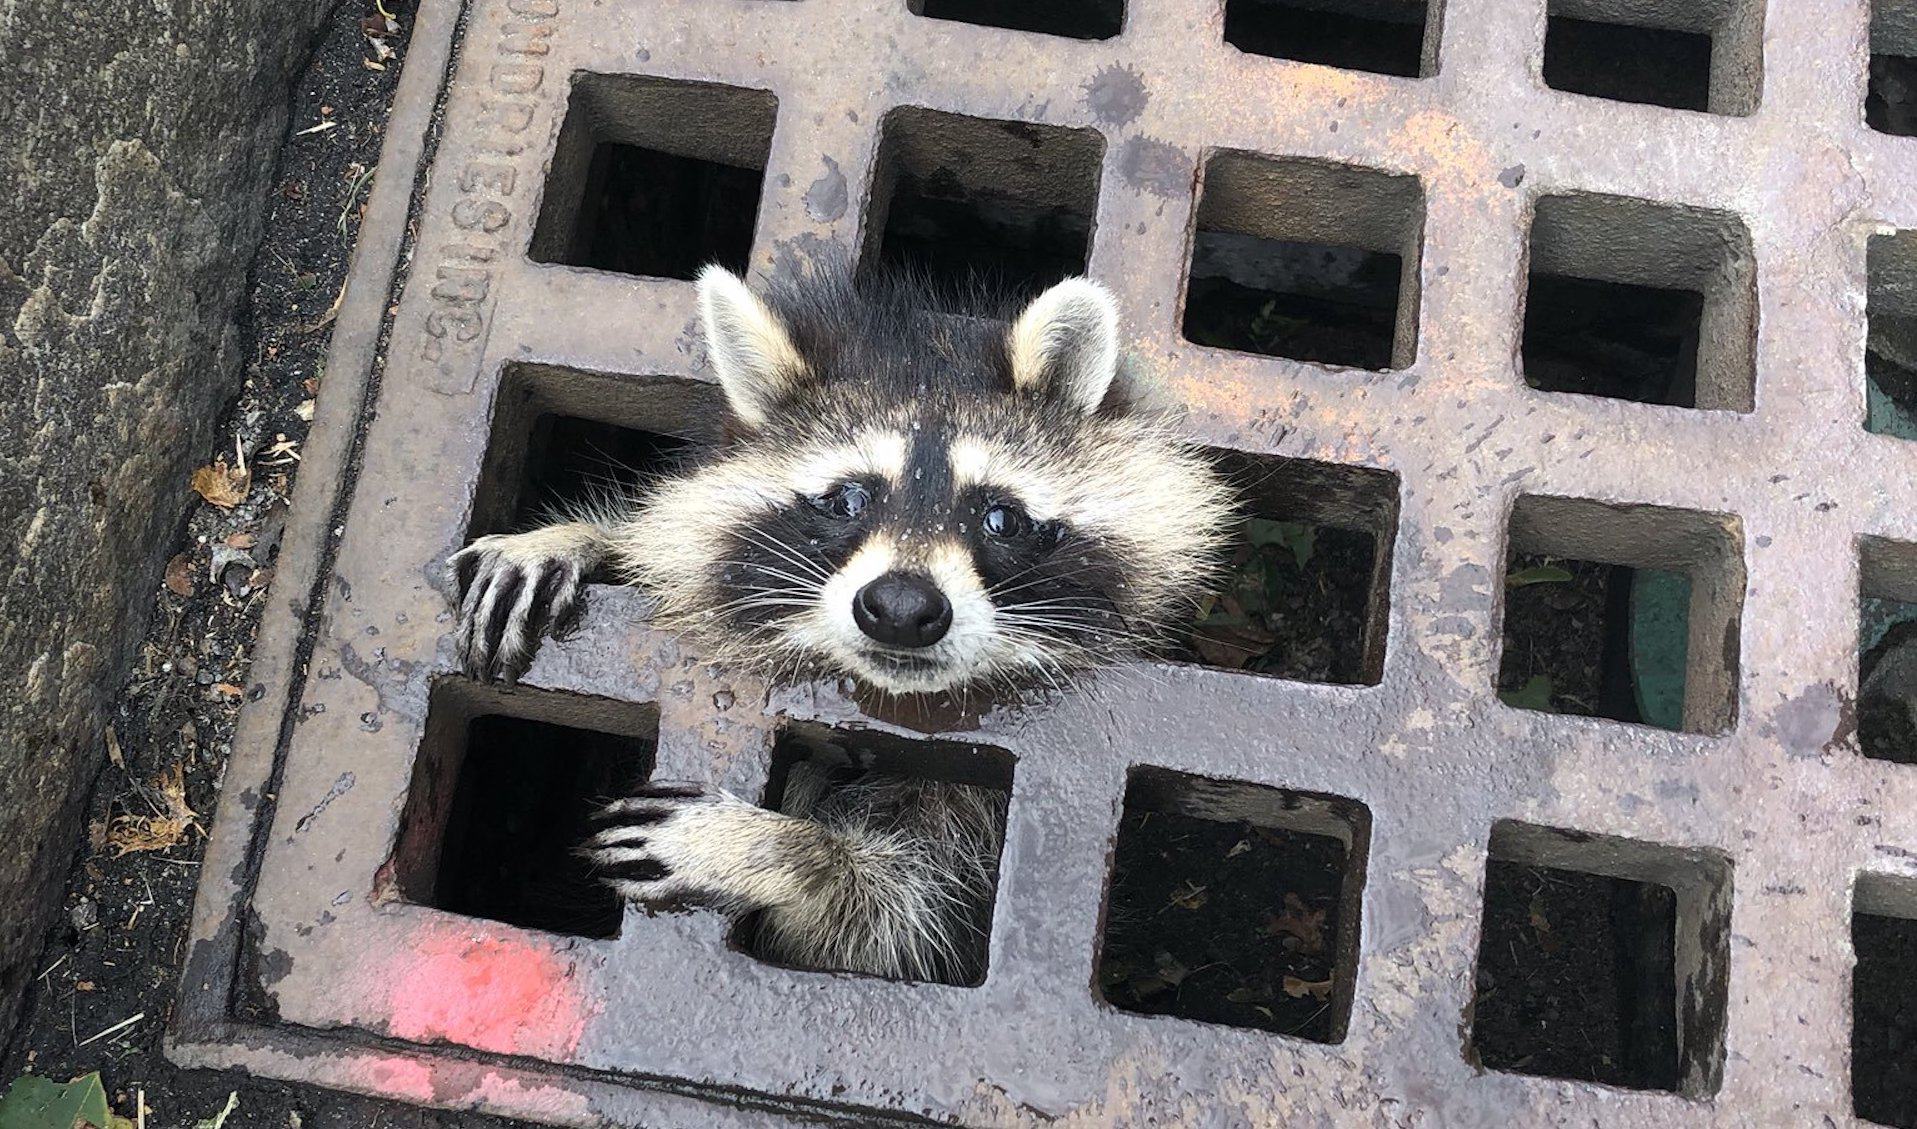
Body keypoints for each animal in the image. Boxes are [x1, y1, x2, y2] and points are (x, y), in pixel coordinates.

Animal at [451, 264, 1234, 982]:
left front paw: (783, 851)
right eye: (847, 500)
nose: (901, 609)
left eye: (1001, 517)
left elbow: (890, 918)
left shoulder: (969, 837)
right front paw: (582, 537)